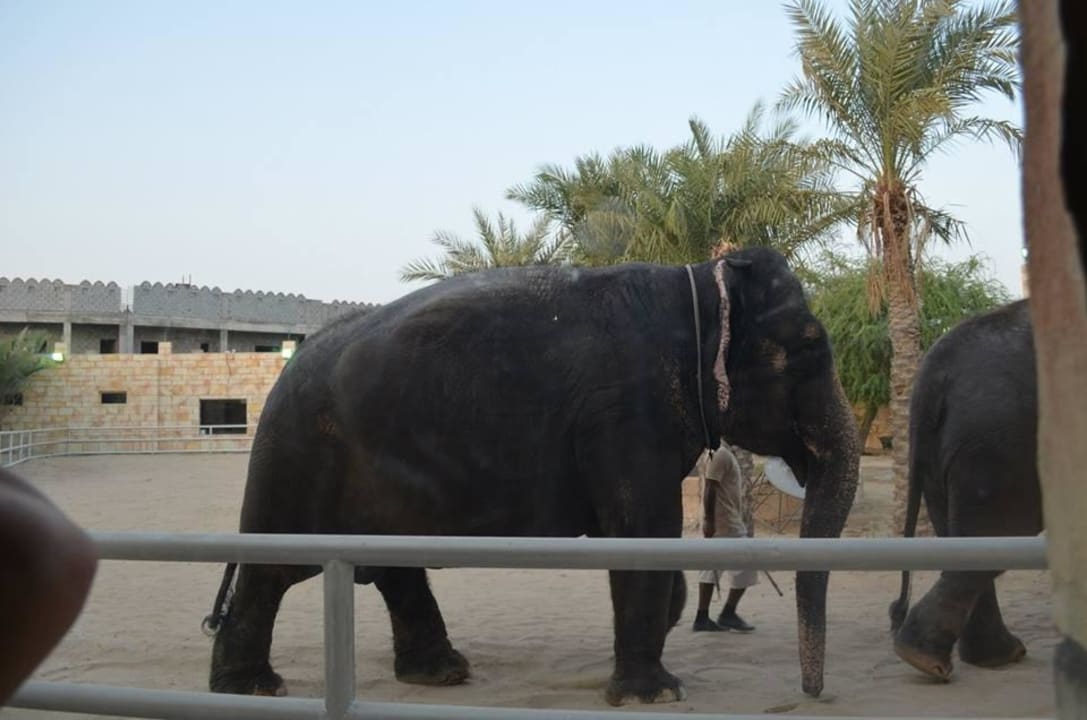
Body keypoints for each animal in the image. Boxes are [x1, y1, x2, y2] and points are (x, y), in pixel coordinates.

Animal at [204, 246, 859, 706]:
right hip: (297, 456)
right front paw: (655, 695)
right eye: (808, 347)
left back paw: (442, 674)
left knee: (393, 568)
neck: (697, 281)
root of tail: (283, 376)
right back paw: (253, 689)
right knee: (273, 571)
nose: (811, 693)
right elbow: (642, 533)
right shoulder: (626, 413)